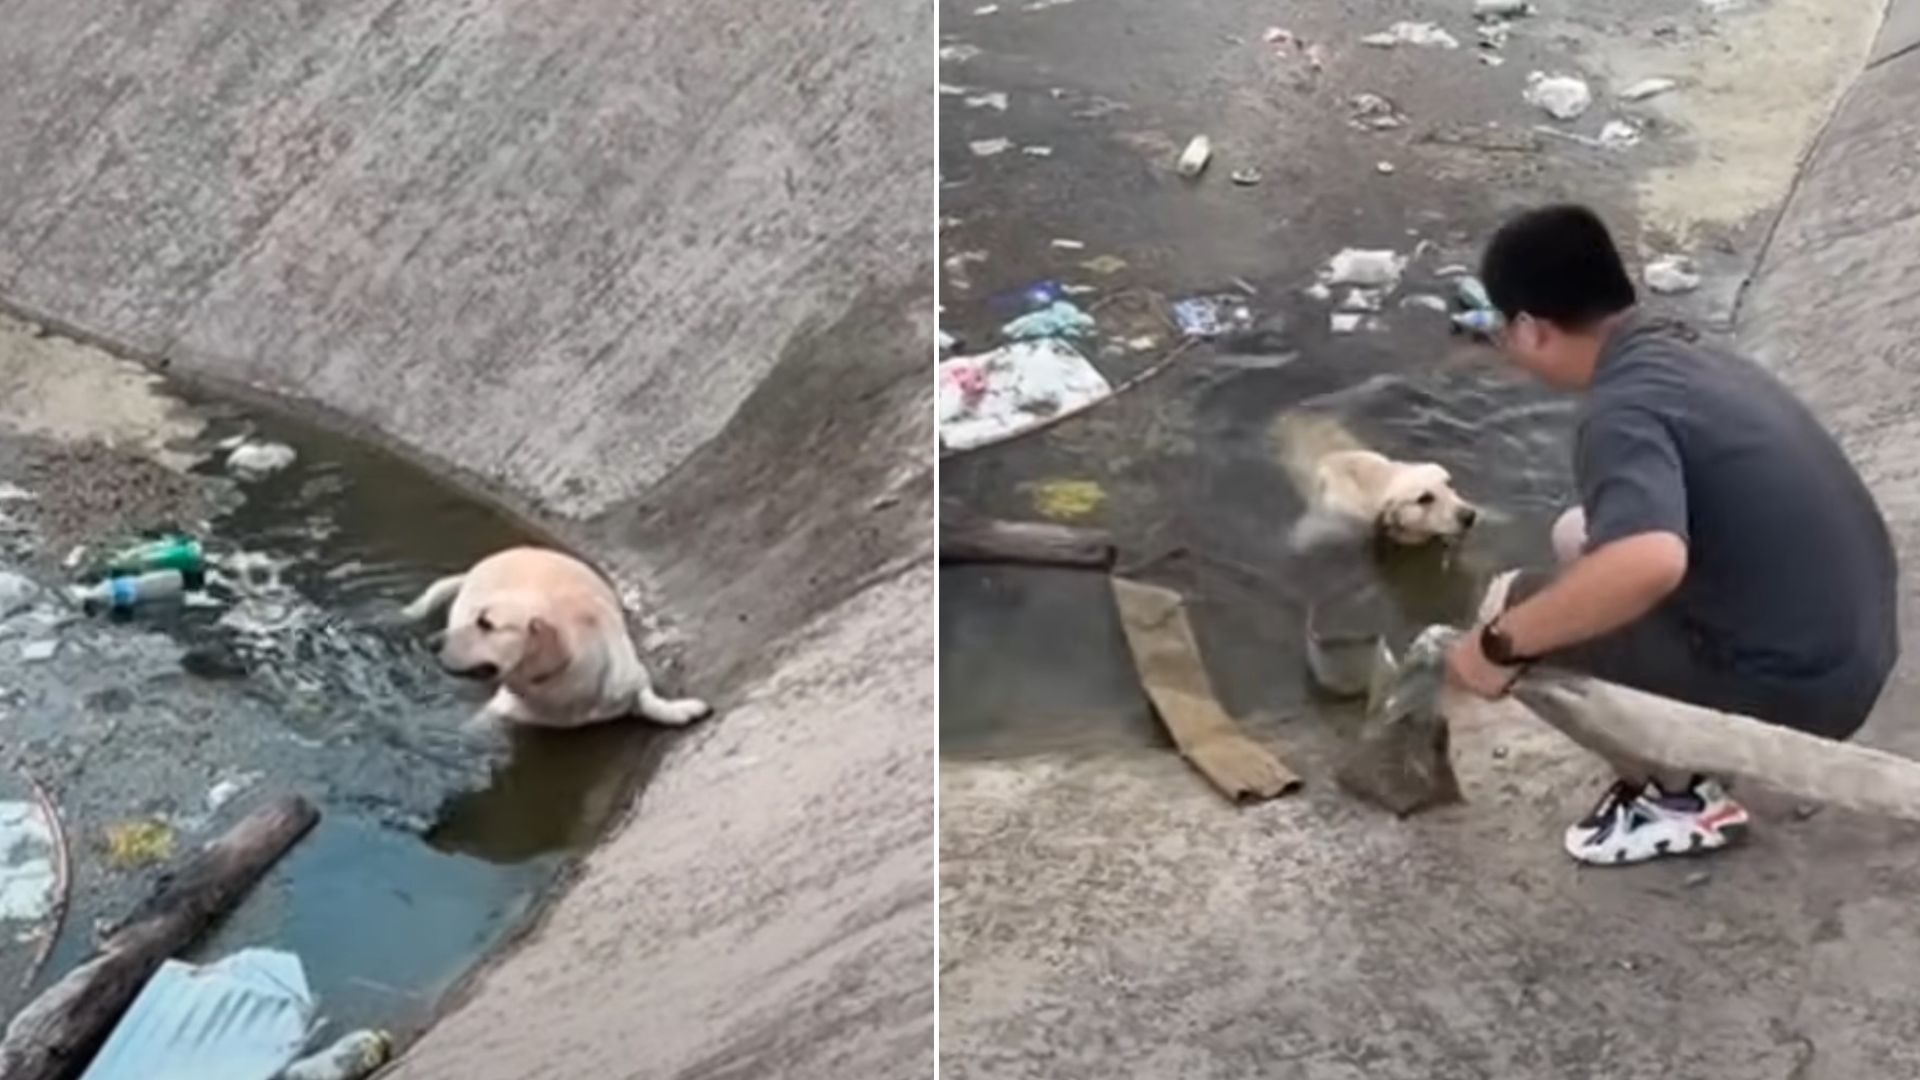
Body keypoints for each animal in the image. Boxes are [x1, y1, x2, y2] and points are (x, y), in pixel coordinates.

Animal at [405, 541, 714, 726]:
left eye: (486, 624)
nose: (432, 643)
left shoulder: (630, 675)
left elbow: (649, 699)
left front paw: (681, 709)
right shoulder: (500, 709)